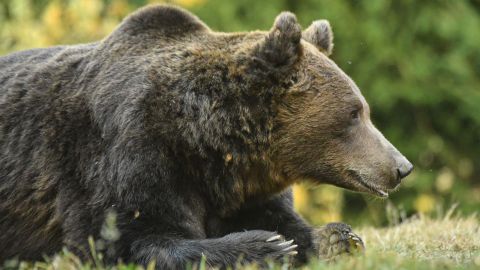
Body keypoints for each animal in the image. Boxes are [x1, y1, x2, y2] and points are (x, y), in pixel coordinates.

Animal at [0, 4, 412, 270]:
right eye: (354, 113)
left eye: (364, 110)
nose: (401, 166)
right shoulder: (128, 153)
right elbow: (125, 238)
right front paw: (268, 245)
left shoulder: (244, 186)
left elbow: (284, 217)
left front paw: (336, 239)